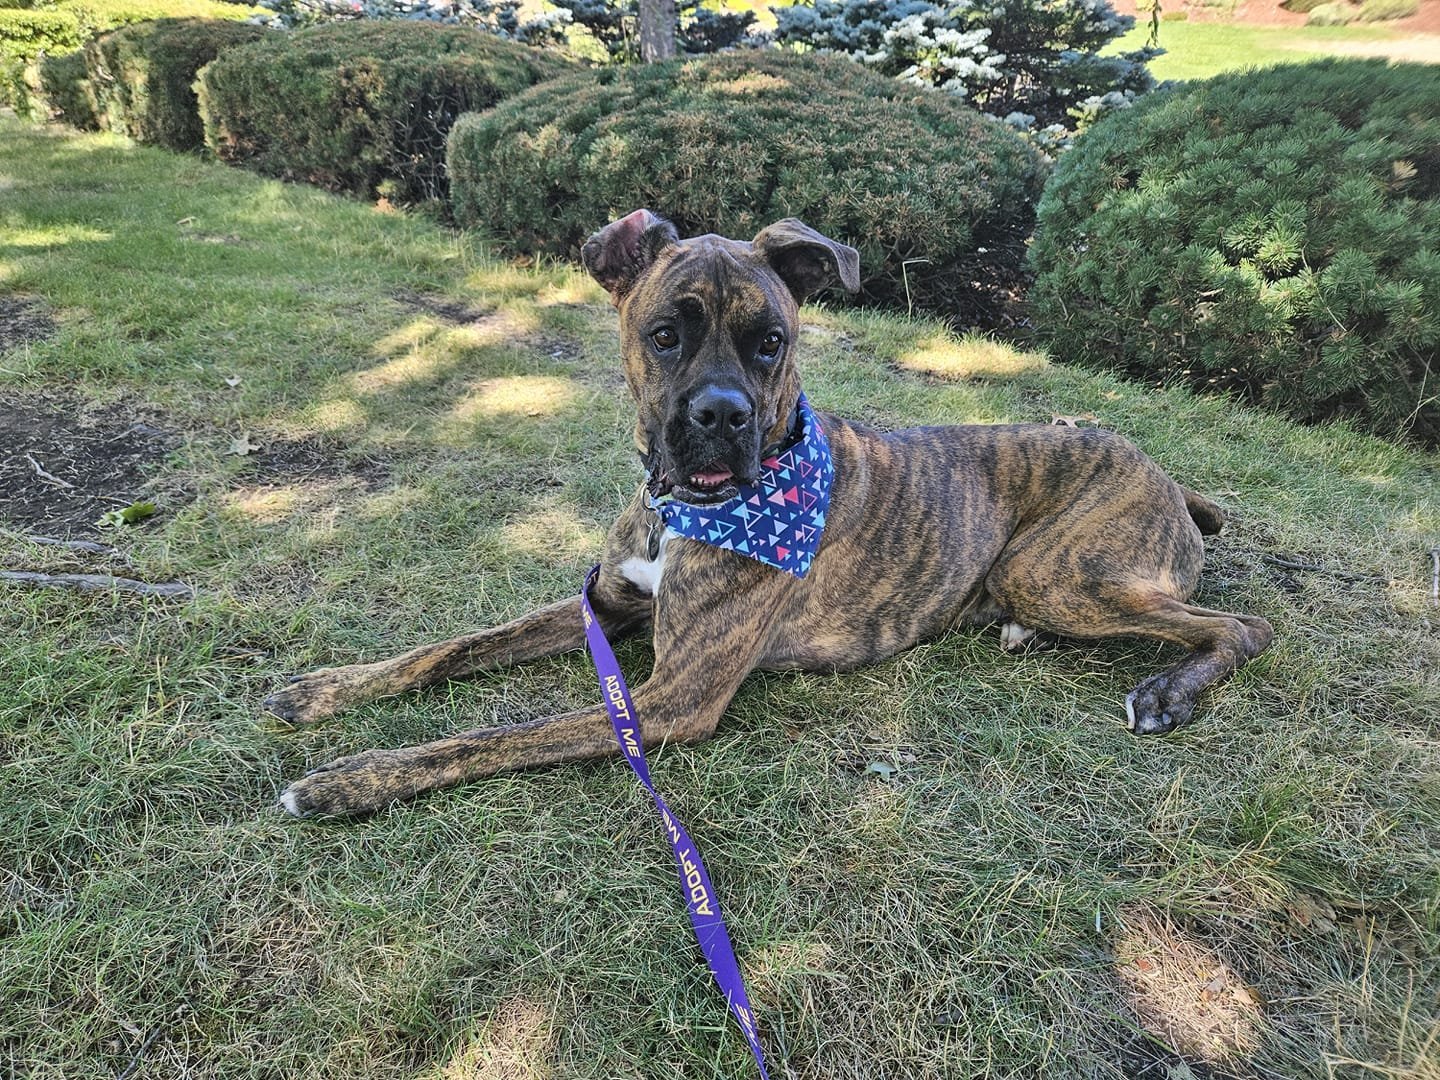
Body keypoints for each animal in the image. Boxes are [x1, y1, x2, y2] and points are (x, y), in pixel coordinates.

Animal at [270, 213, 1272, 817]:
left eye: (771, 343)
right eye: (663, 334)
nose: (720, 416)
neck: (685, 512)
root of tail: (1166, 474)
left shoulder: (670, 697)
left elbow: (494, 735)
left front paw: (354, 777)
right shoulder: (605, 605)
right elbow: (453, 648)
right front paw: (327, 690)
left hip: (1057, 569)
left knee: (1244, 625)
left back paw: (1168, 693)